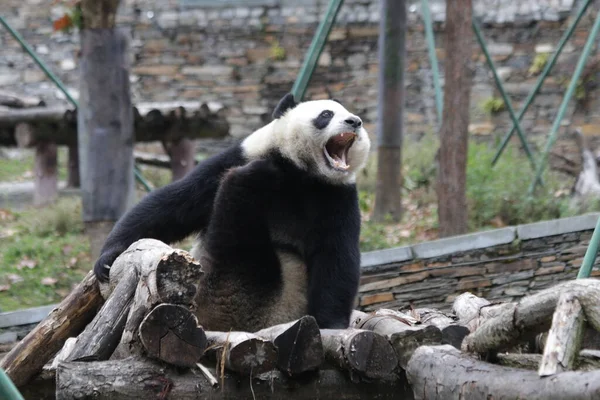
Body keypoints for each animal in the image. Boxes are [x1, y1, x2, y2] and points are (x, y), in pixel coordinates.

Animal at [93, 94, 370, 332]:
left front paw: (331, 324)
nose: (355, 121)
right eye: (326, 114)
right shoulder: (239, 157)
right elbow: (174, 205)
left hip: (255, 295)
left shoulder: (336, 196)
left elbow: (336, 255)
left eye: (350, 114)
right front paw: (108, 257)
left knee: (239, 238)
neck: (300, 172)